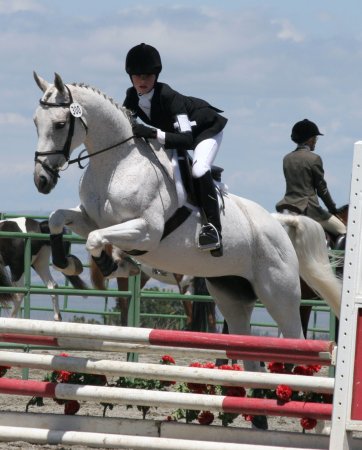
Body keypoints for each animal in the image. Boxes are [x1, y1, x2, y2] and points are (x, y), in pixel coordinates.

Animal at [31, 73, 342, 376]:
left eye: (60, 124)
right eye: (35, 121)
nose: (41, 180)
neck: (117, 162)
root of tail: (277, 222)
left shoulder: (145, 232)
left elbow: (95, 238)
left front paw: (107, 264)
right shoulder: (90, 219)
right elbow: (59, 219)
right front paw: (68, 263)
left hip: (279, 294)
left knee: (296, 341)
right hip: (233, 297)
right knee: (250, 356)